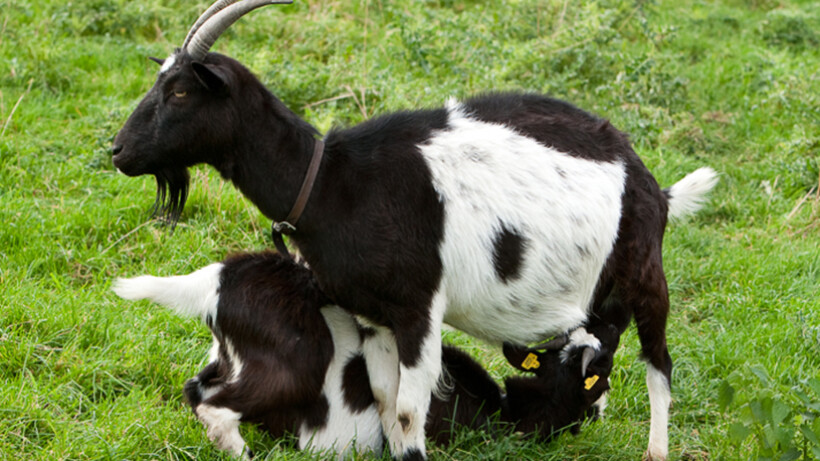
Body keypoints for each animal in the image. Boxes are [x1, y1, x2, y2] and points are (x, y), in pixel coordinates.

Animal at [113, 252, 616, 456]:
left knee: (196, 387)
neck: (505, 410)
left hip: (228, 356)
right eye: (596, 379)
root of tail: (220, 278)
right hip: (293, 364)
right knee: (212, 405)